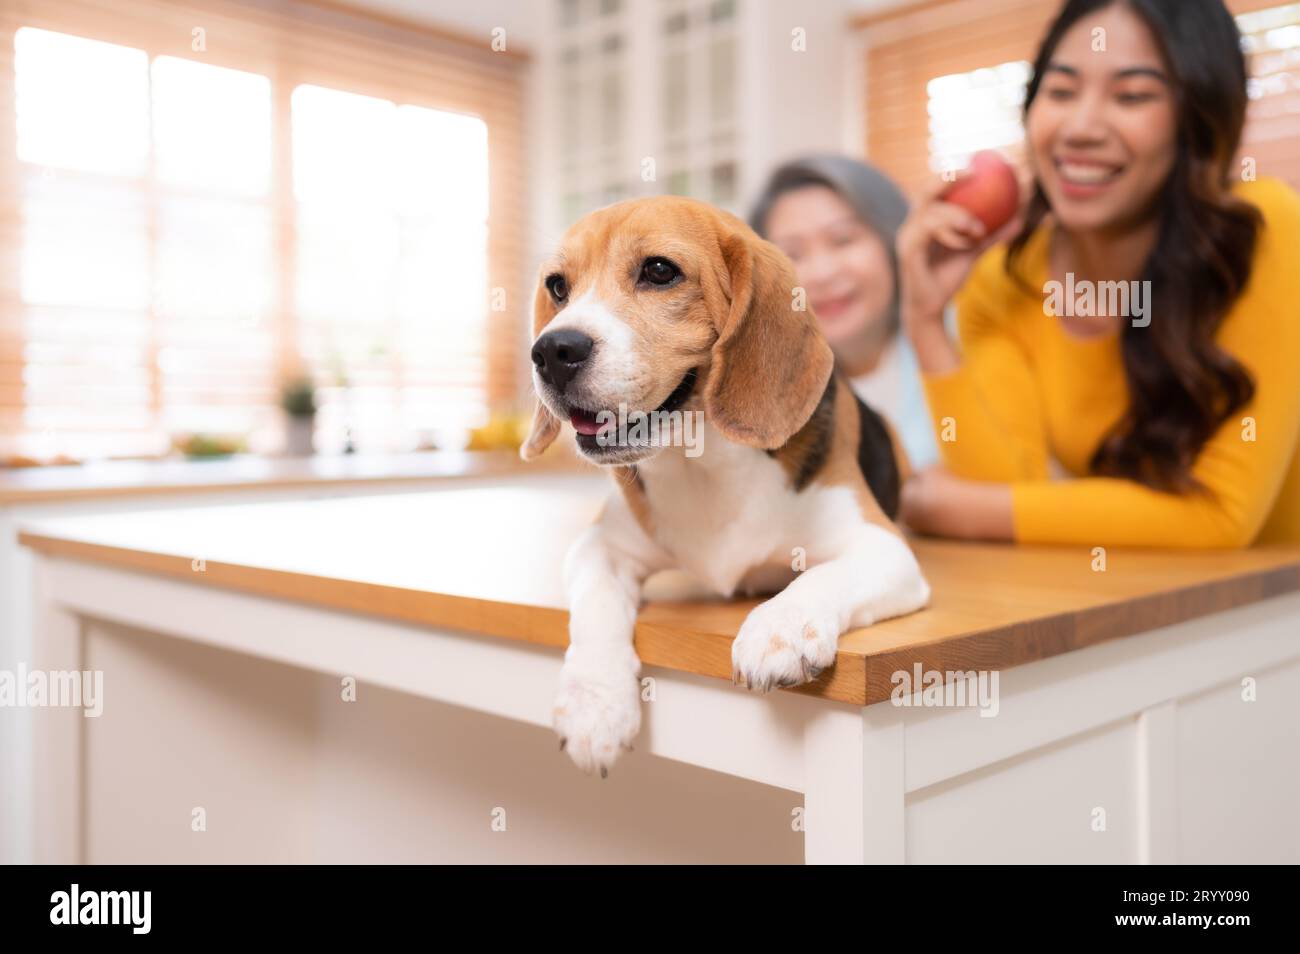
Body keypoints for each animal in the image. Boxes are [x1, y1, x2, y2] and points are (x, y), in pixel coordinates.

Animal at [522, 194, 930, 779]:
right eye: (558, 286)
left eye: (659, 271)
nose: (552, 351)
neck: (701, 461)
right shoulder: (599, 547)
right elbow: (596, 605)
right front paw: (593, 705)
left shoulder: (882, 547)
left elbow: (822, 575)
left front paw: (780, 628)